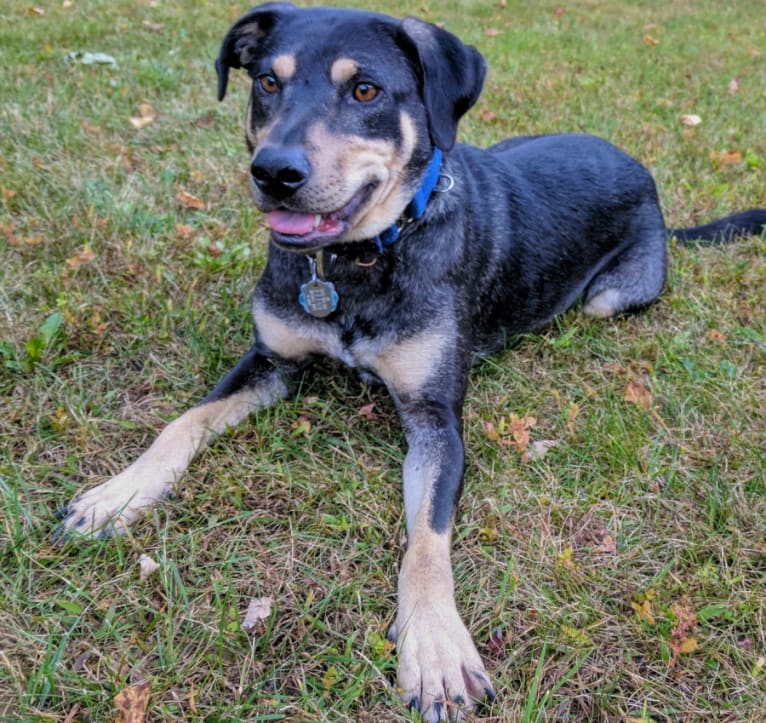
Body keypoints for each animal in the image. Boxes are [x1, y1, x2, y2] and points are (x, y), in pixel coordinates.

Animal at [60, 2, 766, 720]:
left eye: (365, 91)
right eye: (267, 82)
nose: (273, 172)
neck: (360, 258)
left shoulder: (436, 420)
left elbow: (426, 541)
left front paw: (434, 647)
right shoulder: (270, 359)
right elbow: (182, 422)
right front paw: (120, 493)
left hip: (612, 297)